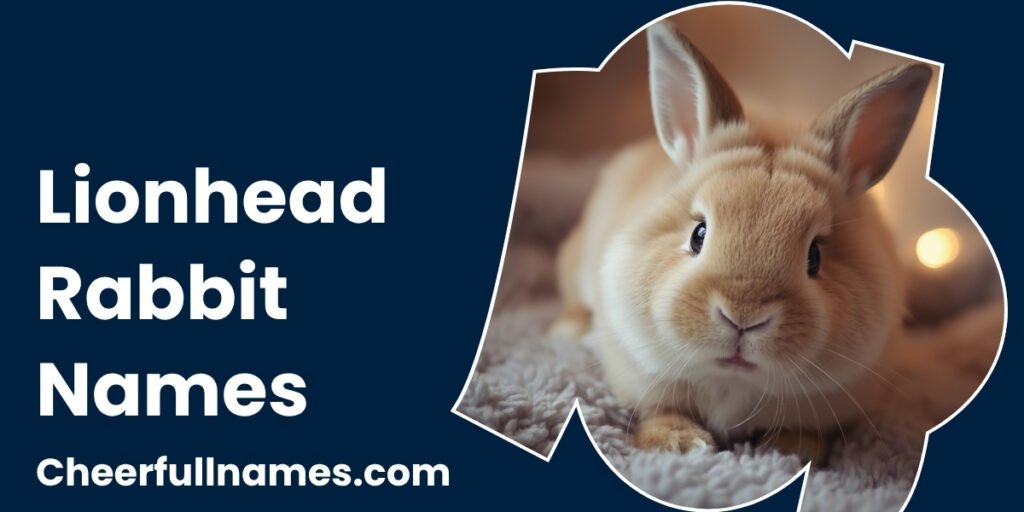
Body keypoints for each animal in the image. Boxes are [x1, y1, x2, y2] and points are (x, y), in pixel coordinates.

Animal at [550, 21, 931, 464]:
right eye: (698, 234)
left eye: (815, 256)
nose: (743, 318)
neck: (731, 381)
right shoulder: (642, 377)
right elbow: (659, 412)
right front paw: (682, 444)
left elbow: (809, 433)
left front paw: (788, 450)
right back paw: (568, 332)